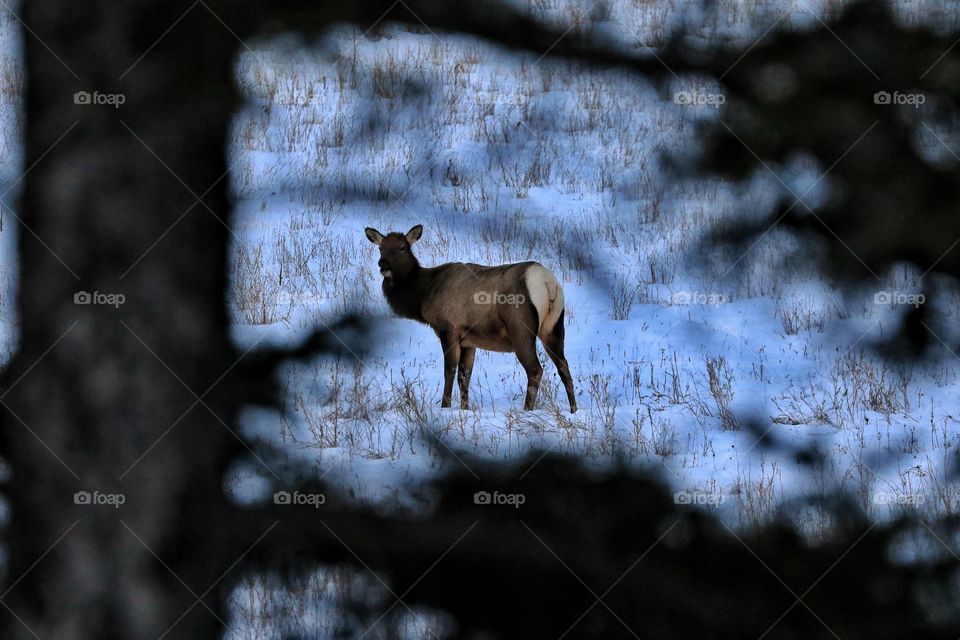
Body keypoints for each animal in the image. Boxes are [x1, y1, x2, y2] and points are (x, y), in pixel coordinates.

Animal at [364, 224, 577, 413]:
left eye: (402, 247)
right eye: (381, 247)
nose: (383, 264)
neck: (423, 294)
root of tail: (548, 282)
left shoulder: (448, 328)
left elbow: (449, 370)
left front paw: (445, 406)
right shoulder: (469, 339)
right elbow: (464, 376)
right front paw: (464, 409)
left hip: (520, 328)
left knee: (535, 370)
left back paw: (527, 410)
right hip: (554, 327)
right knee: (564, 366)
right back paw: (573, 409)